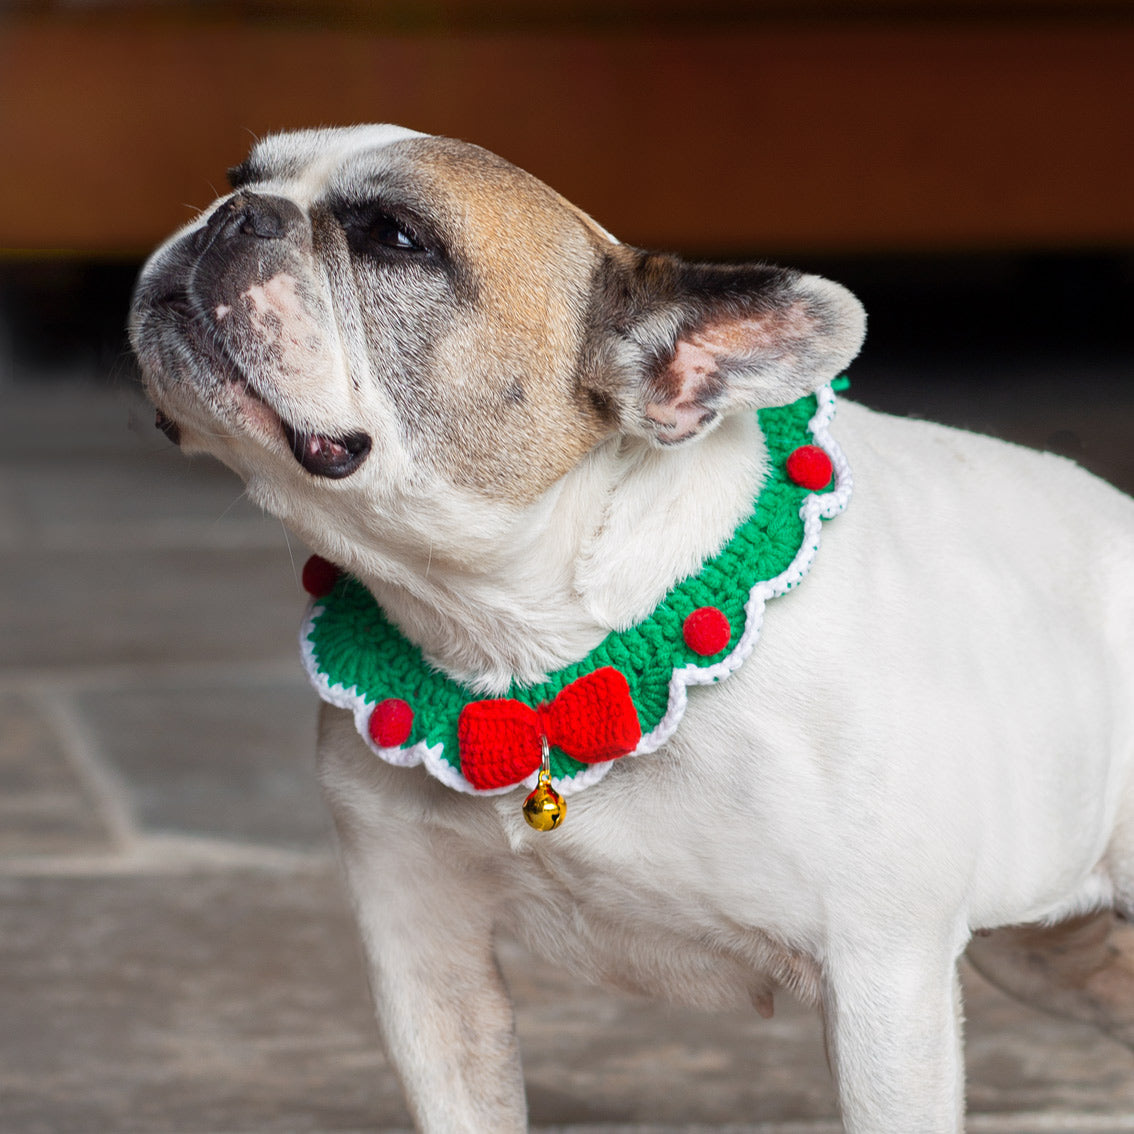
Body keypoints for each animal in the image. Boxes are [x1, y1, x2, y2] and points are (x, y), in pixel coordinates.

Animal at [128, 126, 1134, 1134]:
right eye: (237, 177)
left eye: (397, 237)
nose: (235, 215)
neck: (523, 641)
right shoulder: (424, 952)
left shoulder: (883, 979)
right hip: (1053, 950)